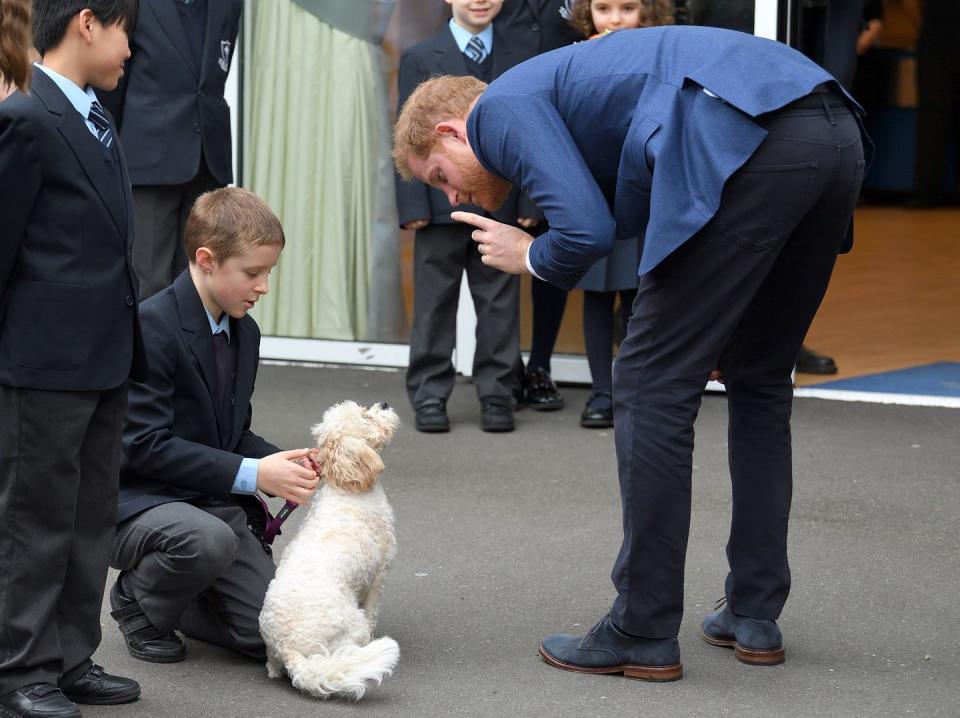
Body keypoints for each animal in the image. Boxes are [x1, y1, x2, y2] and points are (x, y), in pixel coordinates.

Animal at [256, 402, 400, 700]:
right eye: (366, 416)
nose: (384, 404)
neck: (347, 488)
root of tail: (288, 648)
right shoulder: (379, 574)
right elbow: (373, 611)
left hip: (274, 656)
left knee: (273, 668)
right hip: (352, 625)